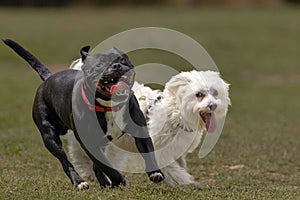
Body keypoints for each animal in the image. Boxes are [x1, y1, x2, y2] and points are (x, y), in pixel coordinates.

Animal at [3, 38, 164, 189]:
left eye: (122, 59)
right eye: (99, 65)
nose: (116, 66)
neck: (109, 106)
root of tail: (48, 79)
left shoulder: (140, 131)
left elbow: (148, 154)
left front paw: (155, 173)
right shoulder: (89, 143)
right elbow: (109, 169)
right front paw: (121, 181)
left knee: (95, 166)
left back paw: (105, 184)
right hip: (50, 137)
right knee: (65, 161)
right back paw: (79, 182)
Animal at [65, 60, 230, 188]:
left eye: (215, 93)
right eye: (199, 95)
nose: (213, 105)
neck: (177, 113)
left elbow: (179, 165)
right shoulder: (159, 150)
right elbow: (174, 171)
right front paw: (187, 182)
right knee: (79, 153)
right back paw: (88, 173)